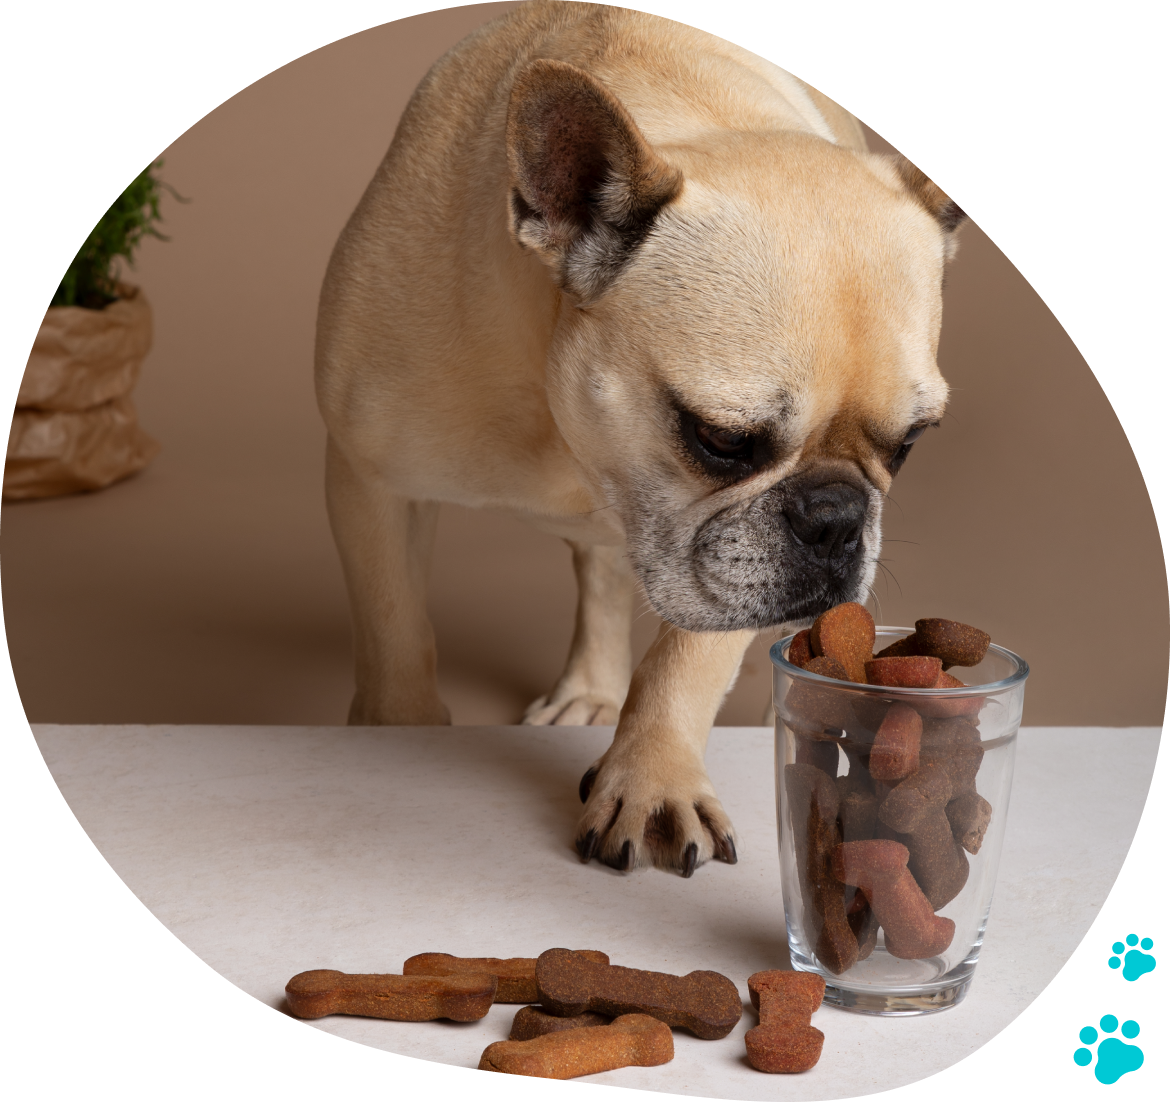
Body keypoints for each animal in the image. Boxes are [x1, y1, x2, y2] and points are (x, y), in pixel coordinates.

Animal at [311, 0, 959, 879]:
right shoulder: (370, 480)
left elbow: (684, 660)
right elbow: (395, 628)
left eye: (909, 445)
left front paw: (653, 780)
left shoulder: (727, 564)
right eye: (721, 439)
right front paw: (394, 734)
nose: (835, 517)